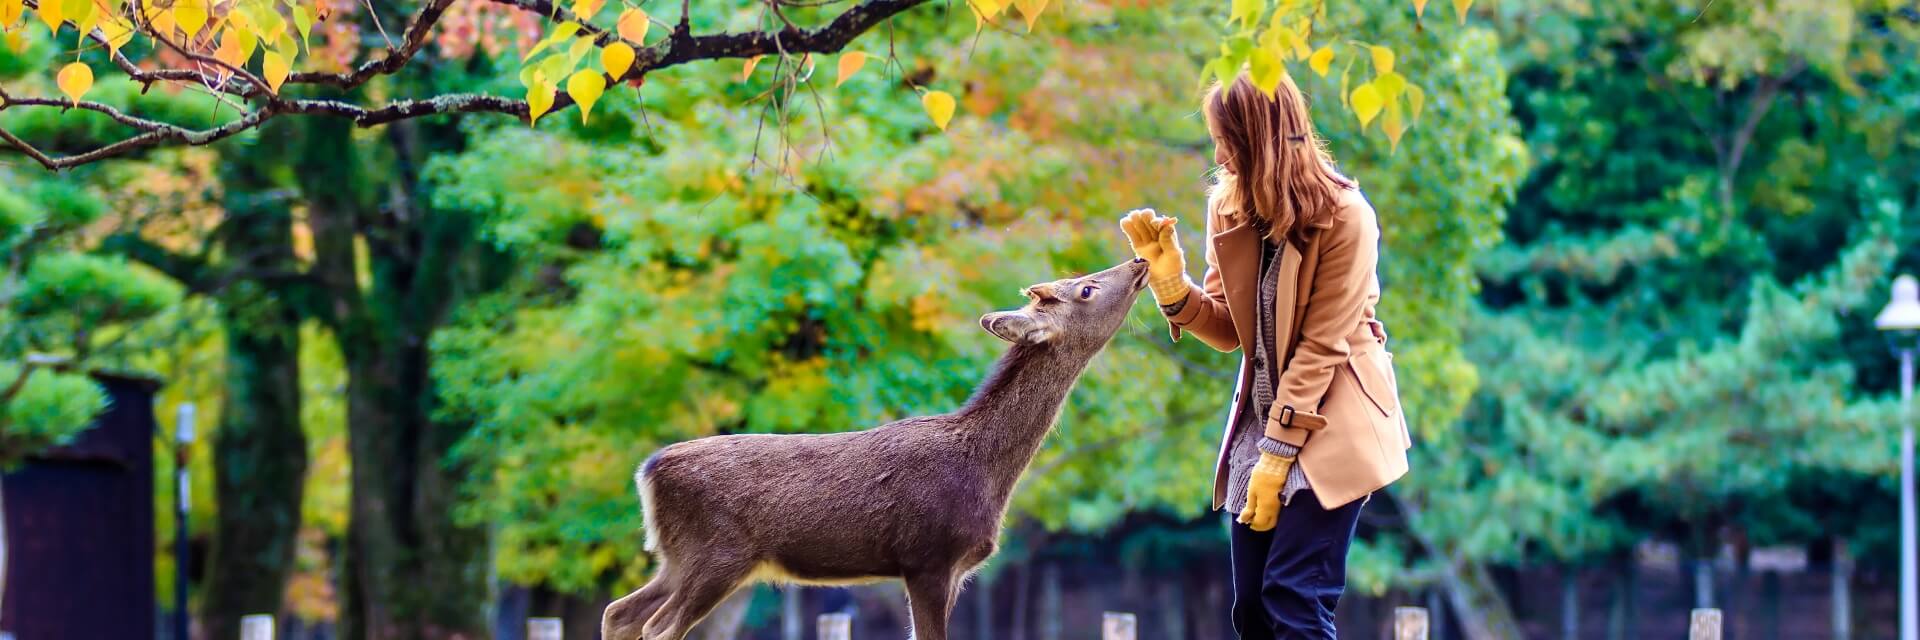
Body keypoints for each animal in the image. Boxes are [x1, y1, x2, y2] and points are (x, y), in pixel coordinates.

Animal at [599, 257, 1144, 634]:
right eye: (1087, 288)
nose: (1138, 262)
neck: (987, 470)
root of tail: (648, 470)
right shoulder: (928, 556)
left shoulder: (955, 570)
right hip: (715, 553)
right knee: (656, 627)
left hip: (677, 557)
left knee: (619, 612)